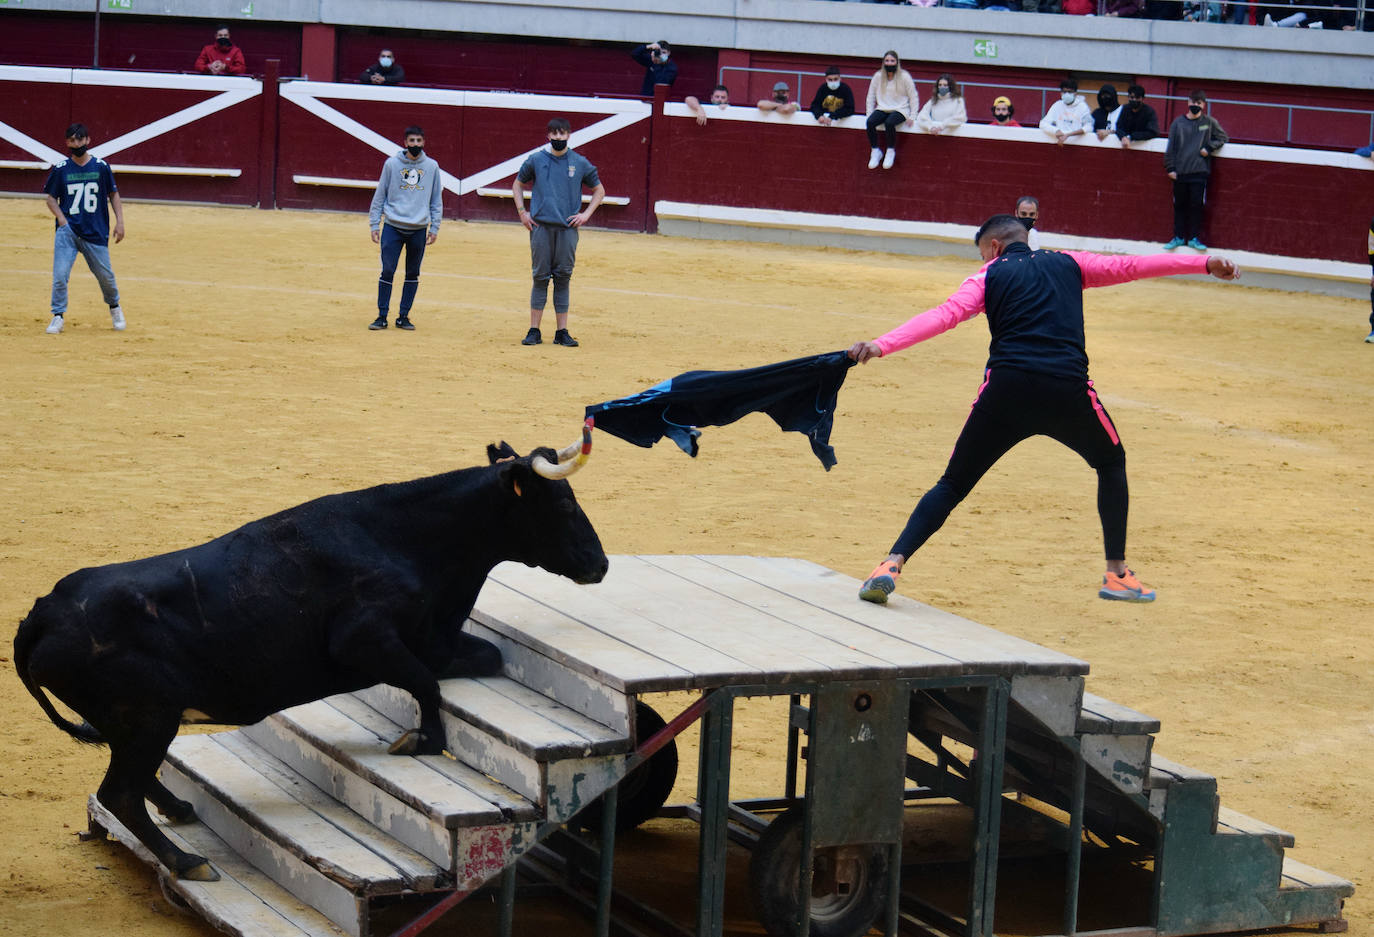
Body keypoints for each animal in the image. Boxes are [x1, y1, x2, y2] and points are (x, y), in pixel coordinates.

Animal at [14, 436, 607, 873]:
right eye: (563, 503)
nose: (600, 564)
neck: (405, 537)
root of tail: (42, 612)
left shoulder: (433, 638)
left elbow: (480, 660)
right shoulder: (363, 638)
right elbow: (424, 682)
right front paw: (423, 739)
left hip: (130, 723)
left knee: (133, 783)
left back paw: (180, 811)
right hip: (149, 718)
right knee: (119, 794)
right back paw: (186, 863)